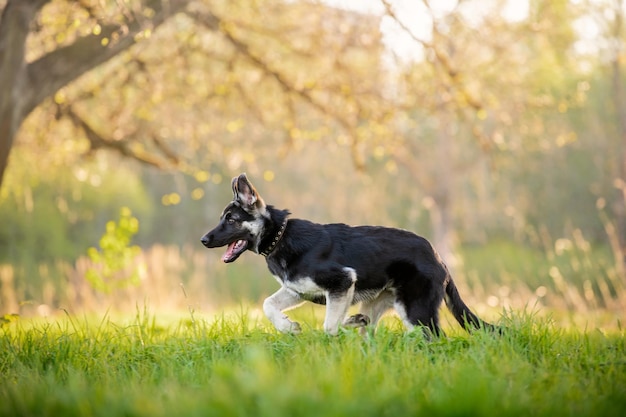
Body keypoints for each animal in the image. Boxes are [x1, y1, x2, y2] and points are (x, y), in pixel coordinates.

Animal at [200, 174, 492, 336]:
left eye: (230, 219)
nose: (203, 240)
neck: (280, 236)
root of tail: (438, 256)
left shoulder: (342, 281)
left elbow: (330, 326)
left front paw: (337, 325)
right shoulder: (298, 290)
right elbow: (267, 304)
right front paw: (287, 326)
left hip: (415, 311)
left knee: (433, 339)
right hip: (379, 304)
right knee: (369, 330)